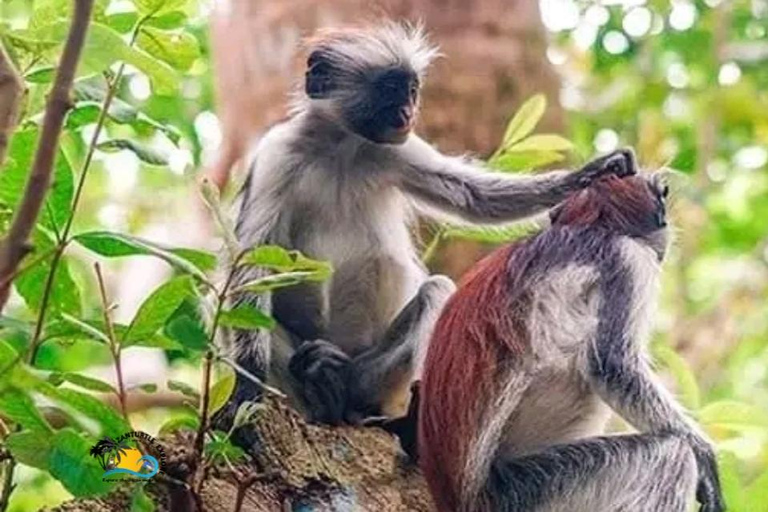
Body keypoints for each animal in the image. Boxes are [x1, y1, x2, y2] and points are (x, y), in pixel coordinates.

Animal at [416, 175, 724, 512]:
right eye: (661, 195)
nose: (665, 213)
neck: (591, 227)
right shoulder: (627, 259)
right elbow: (613, 368)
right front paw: (704, 454)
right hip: (524, 491)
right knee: (672, 458)